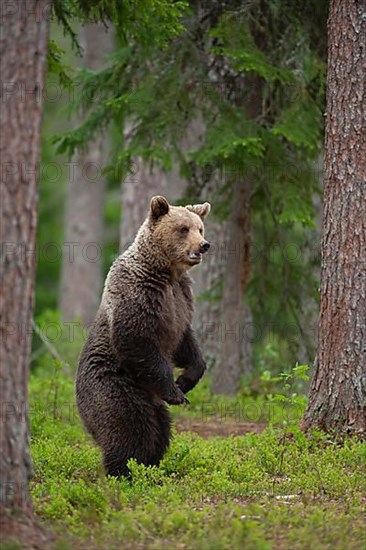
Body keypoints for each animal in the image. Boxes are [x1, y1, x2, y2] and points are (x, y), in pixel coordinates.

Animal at [76, 196, 210, 476]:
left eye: (200, 228)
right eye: (183, 229)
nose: (204, 245)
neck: (166, 271)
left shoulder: (181, 299)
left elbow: (186, 342)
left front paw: (186, 380)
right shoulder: (139, 293)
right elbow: (136, 339)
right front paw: (176, 392)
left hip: (151, 402)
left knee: (160, 430)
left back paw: (149, 468)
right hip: (116, 387)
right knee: (131, 428)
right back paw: (124, 470)